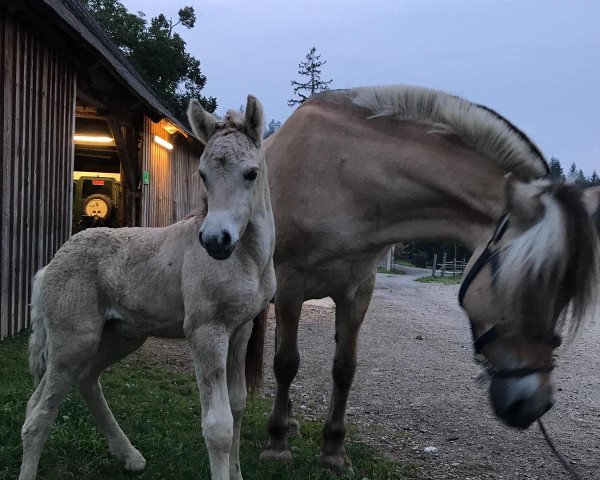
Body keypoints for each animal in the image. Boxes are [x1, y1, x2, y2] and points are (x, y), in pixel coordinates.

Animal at [18, 94, 276, 480]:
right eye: (203, 175)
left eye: (251, 173)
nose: (215, 241)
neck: (248, 259)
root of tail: (49, 266)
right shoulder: (206, 331)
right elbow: (218, 426)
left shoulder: (241, 329)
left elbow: (238, 405)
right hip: (73, 341)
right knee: (38, 415)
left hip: (121, 334)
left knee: (83, 381)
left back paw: (129, 456)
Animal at [258, 85, 600, 472]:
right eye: (525, 288)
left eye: (564, 296)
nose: (535, 405)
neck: (340, 180)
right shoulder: (291, 285)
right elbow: (286, 363)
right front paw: (276, 445)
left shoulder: (357, 290)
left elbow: (344, 368)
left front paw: (333, 450)